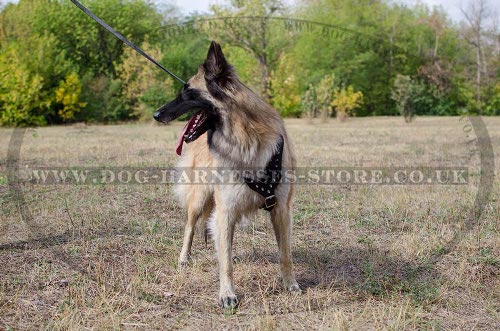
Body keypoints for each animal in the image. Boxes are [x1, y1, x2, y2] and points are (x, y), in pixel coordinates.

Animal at [153, 42, 300, 312]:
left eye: (188, 92)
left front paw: (290, 284)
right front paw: (227, 293)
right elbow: (226, 263)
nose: (156, 114)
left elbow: (285, 253)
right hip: (199, 198)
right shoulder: (225, 210)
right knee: (190, 227)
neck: (246, 137)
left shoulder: (281, 209)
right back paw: (184, 258)